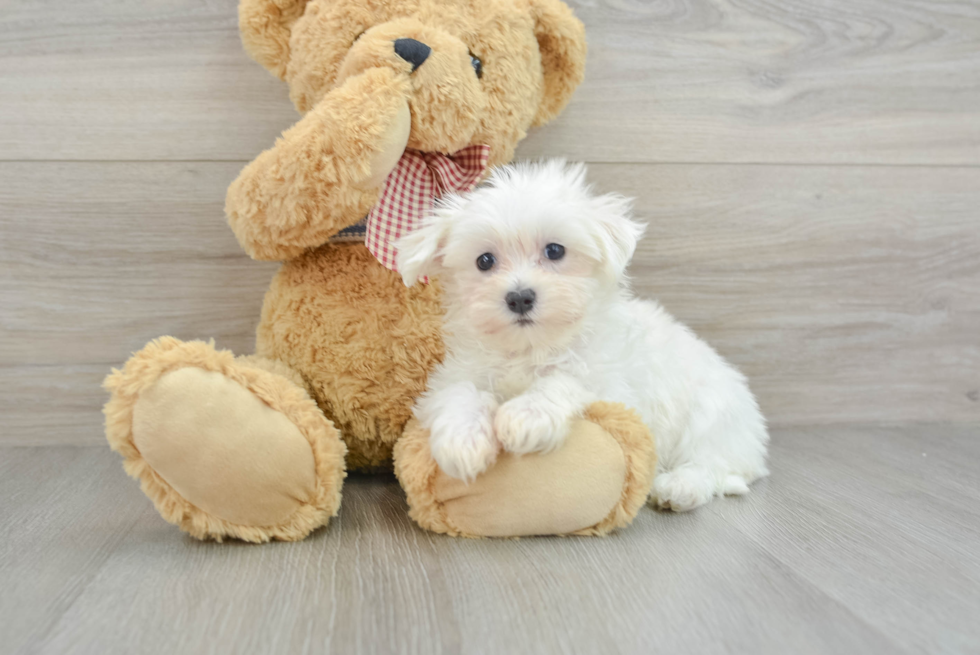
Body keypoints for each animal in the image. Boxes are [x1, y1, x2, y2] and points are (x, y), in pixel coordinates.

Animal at [394, 160, 768, 512]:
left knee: (712, 464)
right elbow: (459, 393)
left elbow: (567, 379)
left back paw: (679, 487)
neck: (531, 349)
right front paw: (463, 439)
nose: (519, 297)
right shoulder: (458, 374)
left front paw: (526, 416)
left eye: (555, 251)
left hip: (712, 415)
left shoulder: (612, 384)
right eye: (484, 261)